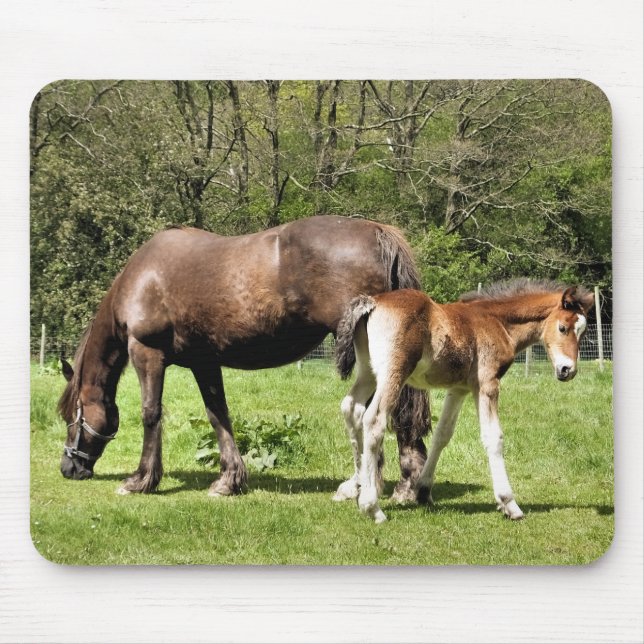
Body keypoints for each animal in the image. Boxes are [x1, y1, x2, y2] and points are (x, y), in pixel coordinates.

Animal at [58, 215, 430, 503]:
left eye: (71, 417)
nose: (68, 468)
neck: (143, 277)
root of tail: (378, 232)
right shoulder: (204, 362)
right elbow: (218, 415)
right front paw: (229, 480)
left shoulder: (146, 352)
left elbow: (151, 414)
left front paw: (141, 480)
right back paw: (410, 484)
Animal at [334, 279, 595, 523]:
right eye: (562, 328)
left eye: (582, 332)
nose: (568, 370)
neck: (498, 322)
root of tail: (373, 302)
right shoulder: (487, 384)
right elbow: (493, 438)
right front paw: (509, 504)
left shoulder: (458, 389)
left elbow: (442, 434)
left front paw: (423, 491)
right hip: (394, 373)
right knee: (374, 420)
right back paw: (371, 506)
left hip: (368, 372)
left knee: (351, 409)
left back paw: (357, 487)